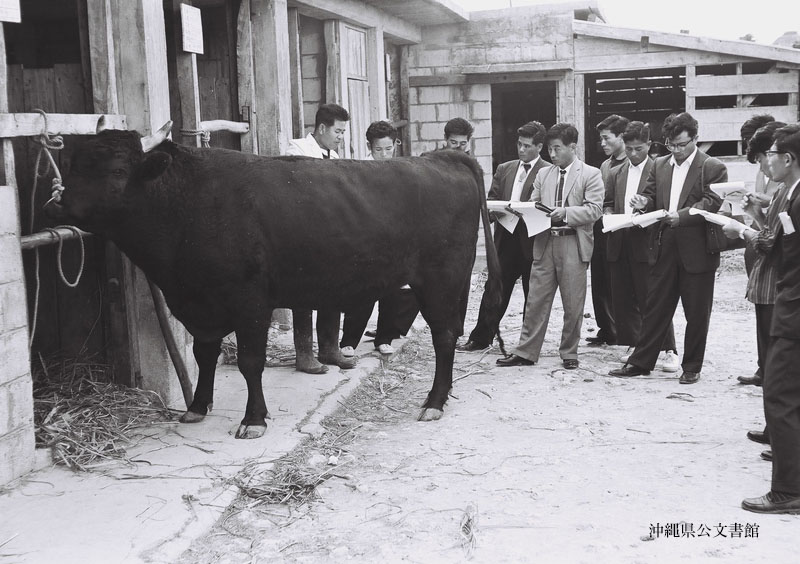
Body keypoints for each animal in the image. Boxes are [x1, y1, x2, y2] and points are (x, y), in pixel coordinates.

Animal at [47, 122, 503, 439]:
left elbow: (251, 361)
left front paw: (253, 419)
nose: (60, 203)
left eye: (117, 169)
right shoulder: (200, 304)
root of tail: (441, 158)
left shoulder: (249, 299)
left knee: (444, 337)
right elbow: (205, 355)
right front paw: (198, 406)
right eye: (73, 165)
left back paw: (434, 401)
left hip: (441, 280)